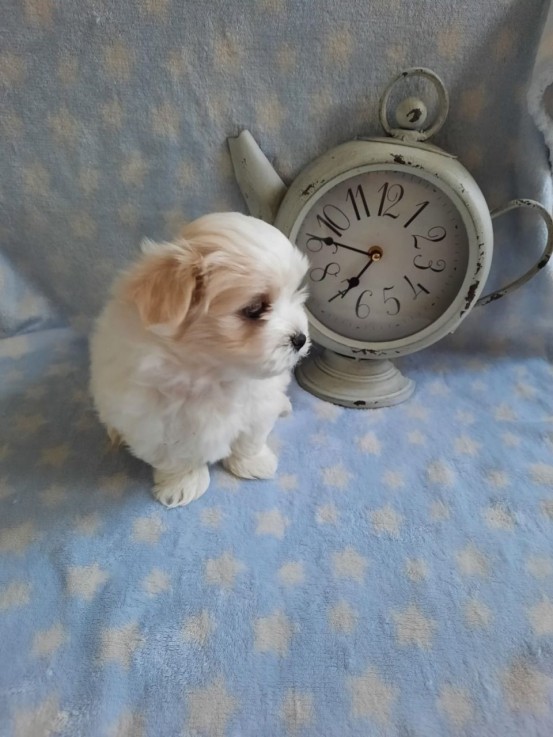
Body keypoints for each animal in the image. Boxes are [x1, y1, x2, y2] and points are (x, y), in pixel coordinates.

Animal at [88, 210, 308, 504]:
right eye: (254, 309)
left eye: (295, 294)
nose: (300, 338)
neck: (213, 373)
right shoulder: (156, 422)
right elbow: (177, 456)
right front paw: (184, 484)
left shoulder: (259, 402)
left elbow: (250, 436)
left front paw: (253, 463)